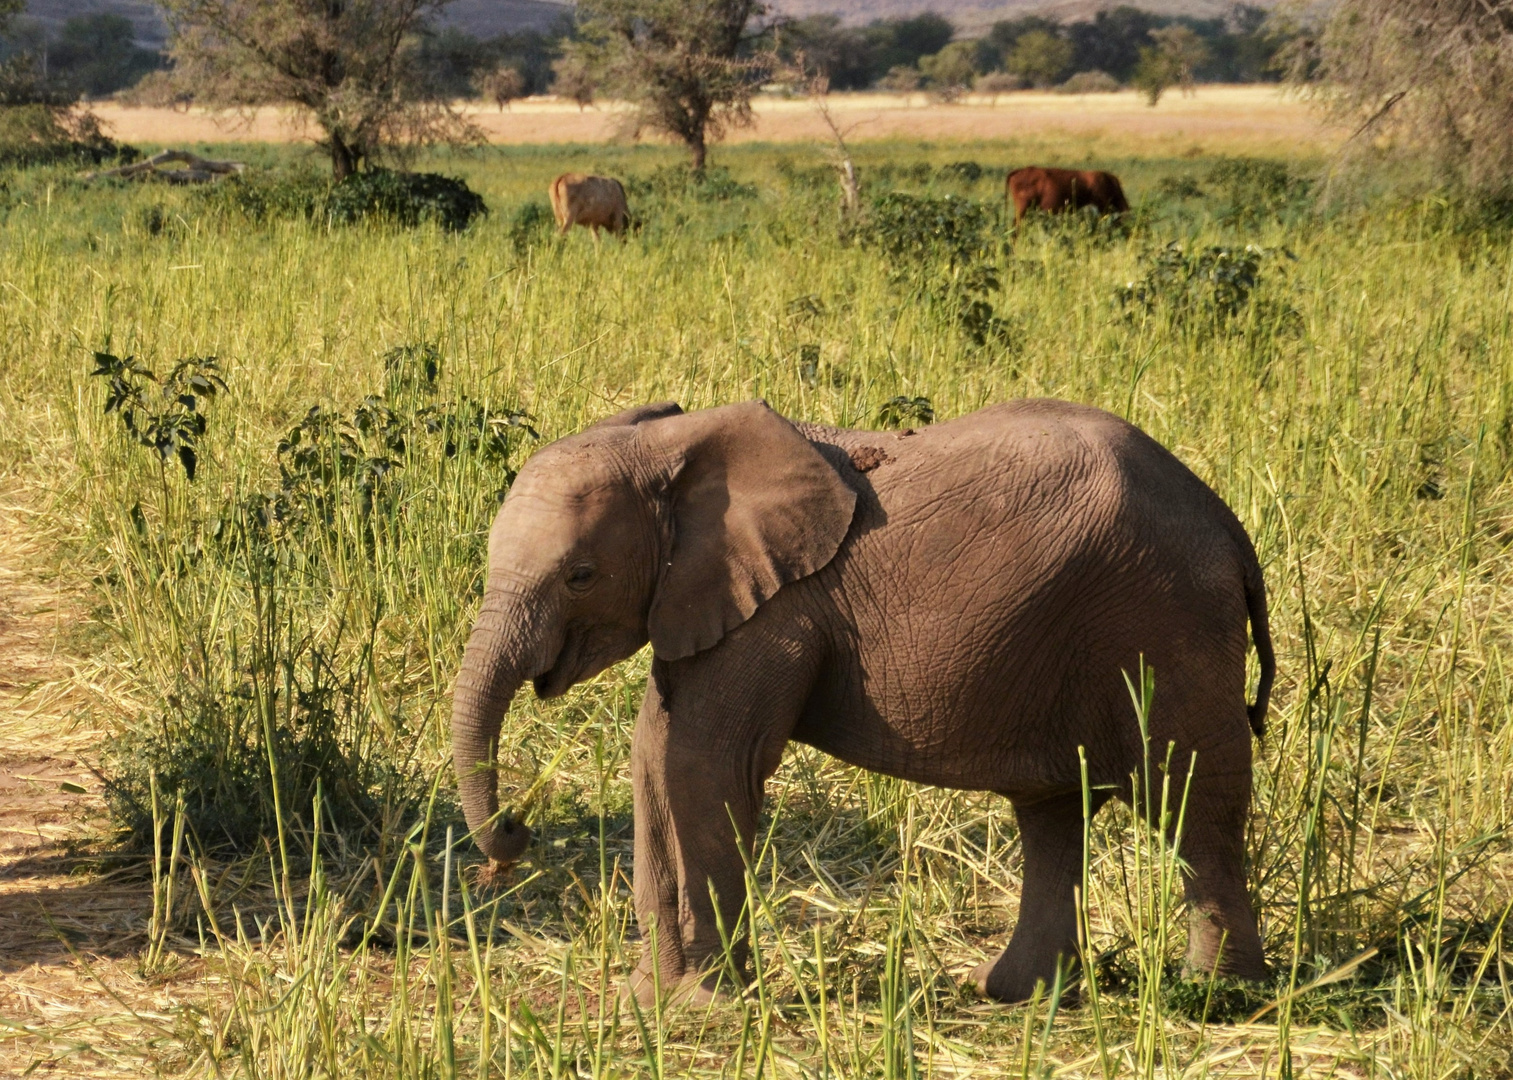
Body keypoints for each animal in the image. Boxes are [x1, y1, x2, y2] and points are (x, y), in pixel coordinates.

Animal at [450, 399, 1276, 1004]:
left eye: (580, 576)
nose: (516, 831)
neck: (670, 442)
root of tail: (1227, 526)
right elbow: (655, 758)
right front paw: (650, 1005)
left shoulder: (778, 609)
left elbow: (702, 764)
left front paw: (702, 1008)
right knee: (1052, 810)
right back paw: (1013, 994)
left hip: (1165, 623)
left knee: (1191, 797)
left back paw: (1216, 997)